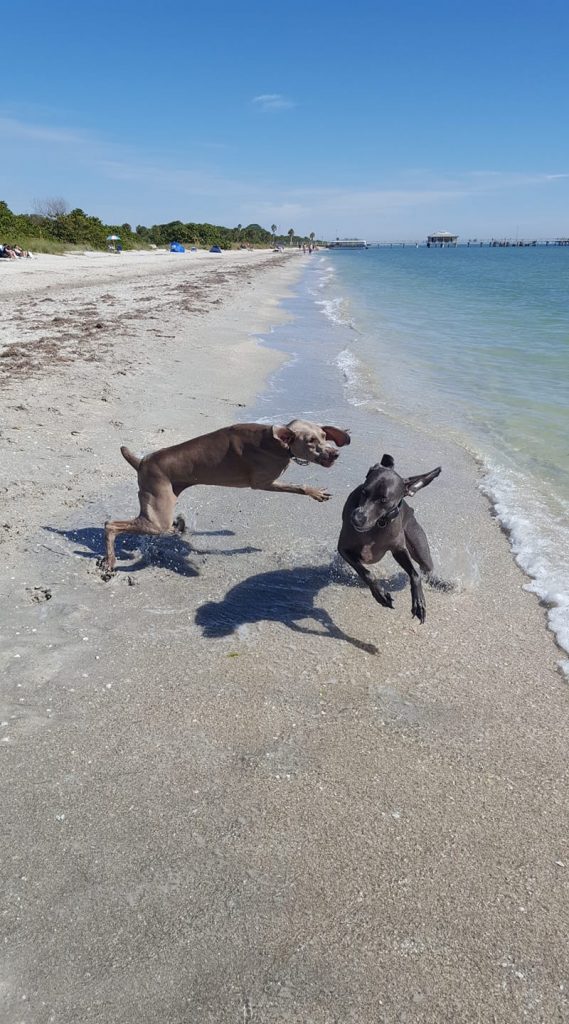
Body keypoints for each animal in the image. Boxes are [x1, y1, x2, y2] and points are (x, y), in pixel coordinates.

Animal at [102, 417, 352, 577]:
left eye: (323, 435)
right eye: (310, 441)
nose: (335, 453)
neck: (276, 443)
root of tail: (142, 461)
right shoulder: (263, 483)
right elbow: (297, 486)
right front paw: (315, 492)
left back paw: (179, 525)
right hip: (157, 514)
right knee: (110, 524)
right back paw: (110, 561)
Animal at [337, 456, 440, 622]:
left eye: (384, 500)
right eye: (364, 491)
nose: (357, 518)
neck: (378, 524)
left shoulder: (399, 550)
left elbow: (415, 575)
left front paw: (419, 602)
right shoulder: (344, 548)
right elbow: (367, 573)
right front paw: (380, 595)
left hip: (419, 547)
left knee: (426, 568)